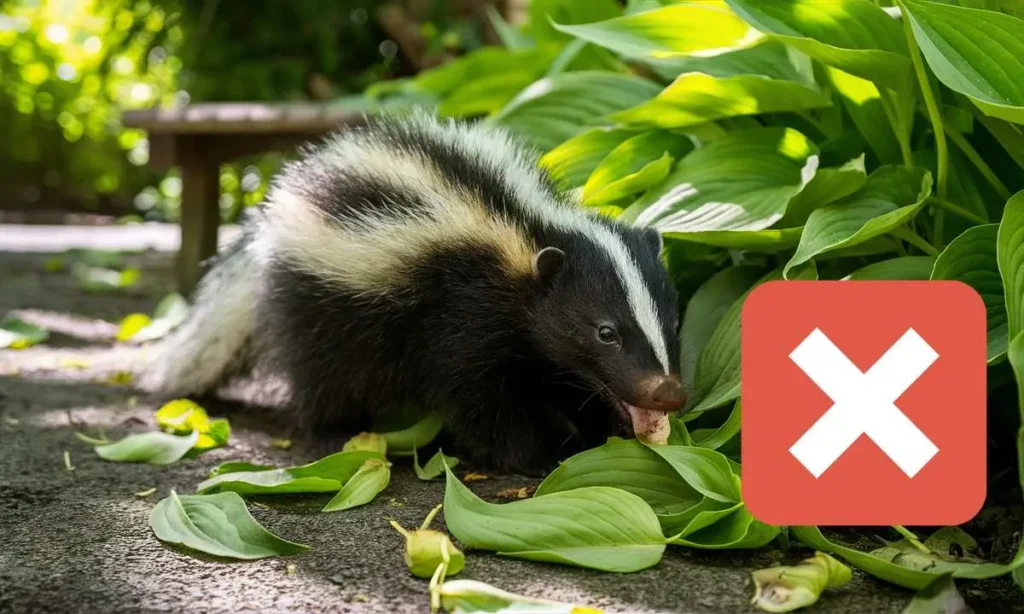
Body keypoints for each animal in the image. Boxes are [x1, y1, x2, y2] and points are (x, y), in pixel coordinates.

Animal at [142, 111, 688, 474]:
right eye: (605, 332)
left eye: (672, 321)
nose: (667, 392)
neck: (525, 233)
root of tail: (269, 221)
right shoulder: (461, 309)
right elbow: (477, 395)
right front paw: (541, 454)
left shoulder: (532, 342)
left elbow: (561, 376)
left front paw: (595, 432)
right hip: (317, 304)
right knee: (322, 376)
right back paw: (338, 432)